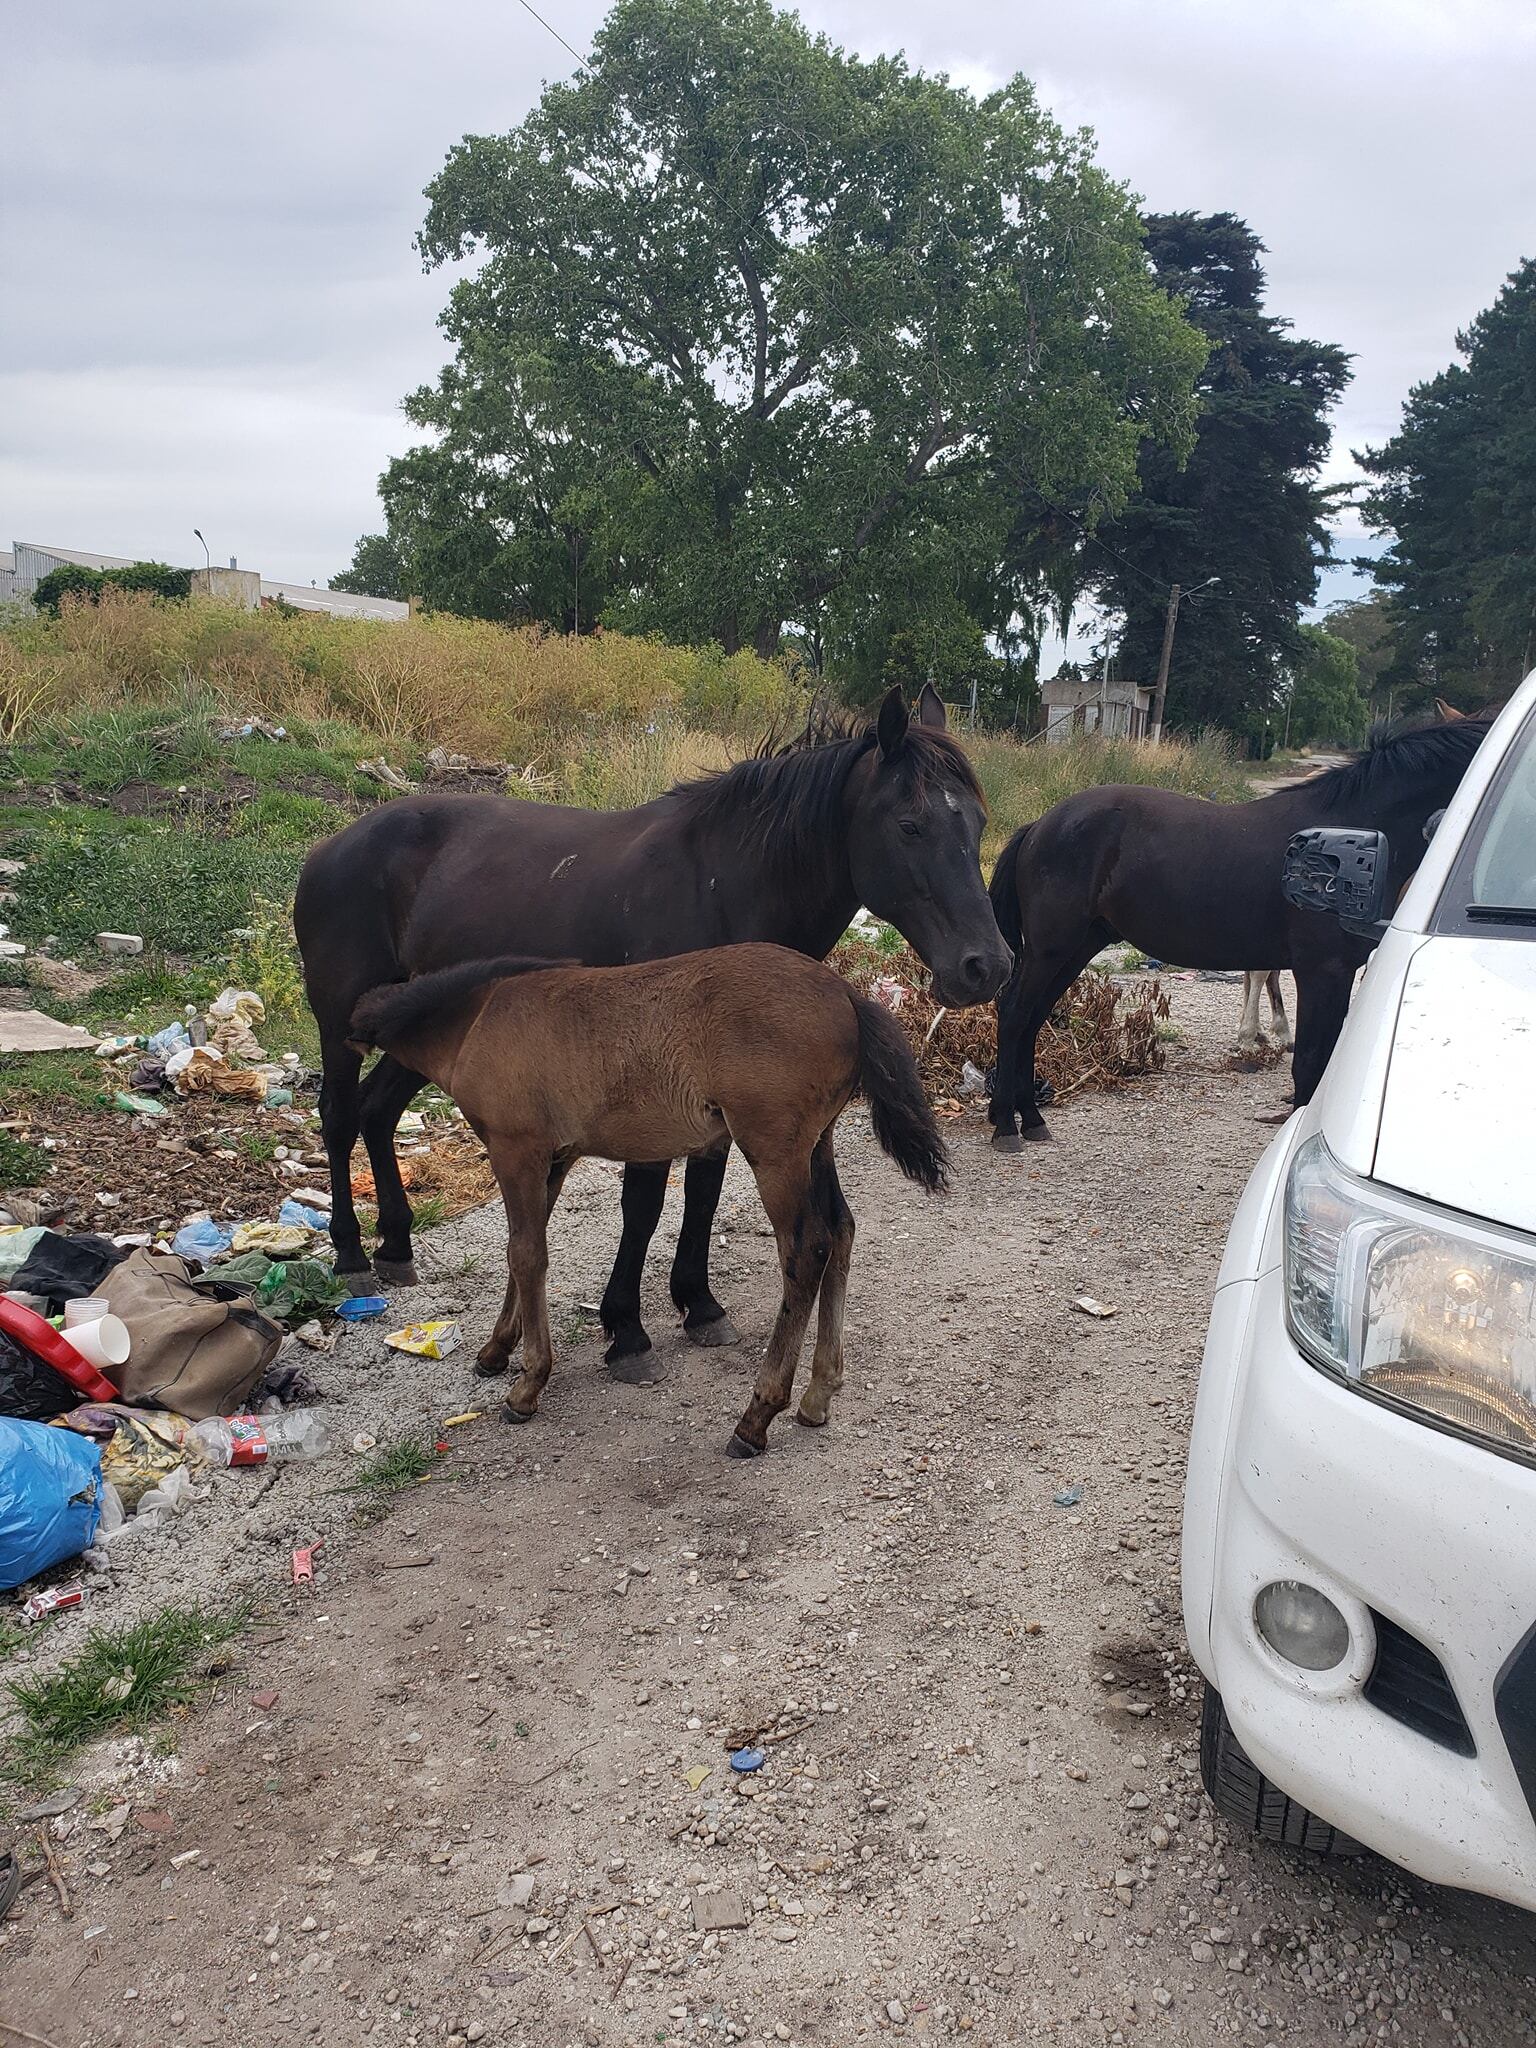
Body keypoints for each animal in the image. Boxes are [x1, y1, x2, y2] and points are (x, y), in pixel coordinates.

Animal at [294, 688, 1015, 1359]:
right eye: (910, 825)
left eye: (976, 822)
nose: (988, 966)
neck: (721, 886)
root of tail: (331, 845)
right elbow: (644, 1202)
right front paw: (628, 1328)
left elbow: (704, 1190)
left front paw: (698, 1304)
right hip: (342, 1024)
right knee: (339, 1115)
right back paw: (353, 1255)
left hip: (419, 1027)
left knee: (377, 1111)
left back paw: (395, 1244)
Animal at [348, 942, 950, 1458]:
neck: (478, 1018)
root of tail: (846, 993)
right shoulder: (552, 1159)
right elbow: (522, 1251)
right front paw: (497, 1351)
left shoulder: (516, 1150)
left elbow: (527, 1255)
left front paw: (528, 1385)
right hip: (817, 1144)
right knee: (842, 1231)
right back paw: (819, 1393)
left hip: (776, 1151)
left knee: (806, 1254)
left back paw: (757, 1416)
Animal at [987, 712, 1507, 1146]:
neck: (1355, 844)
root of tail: (1042, 825)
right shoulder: (1323, 972)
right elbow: (1310, 1063)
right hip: (1051, 948)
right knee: (1014, 1013)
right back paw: (1007, 1125)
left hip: (1077, 947)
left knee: (1032, 1018)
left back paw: (1030, 1118)